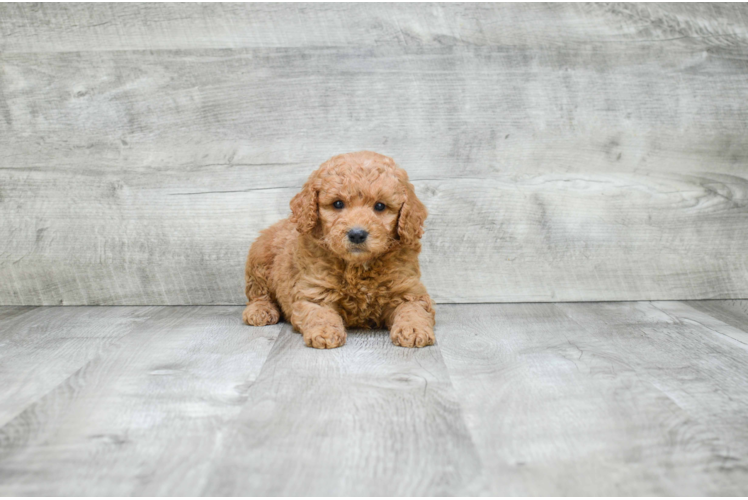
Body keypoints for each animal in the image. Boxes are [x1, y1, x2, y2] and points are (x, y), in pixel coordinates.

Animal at [243, 150, 436, 350]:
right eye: (337, 204)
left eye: (380, 206)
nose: (357, 234)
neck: (357, 268)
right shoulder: (315, 291)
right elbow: (320, 313)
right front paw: (325, 332)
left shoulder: (408, 289)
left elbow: (412, 309)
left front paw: (413, 329)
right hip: (259, 259)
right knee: (258, 293)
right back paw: (260, 311)